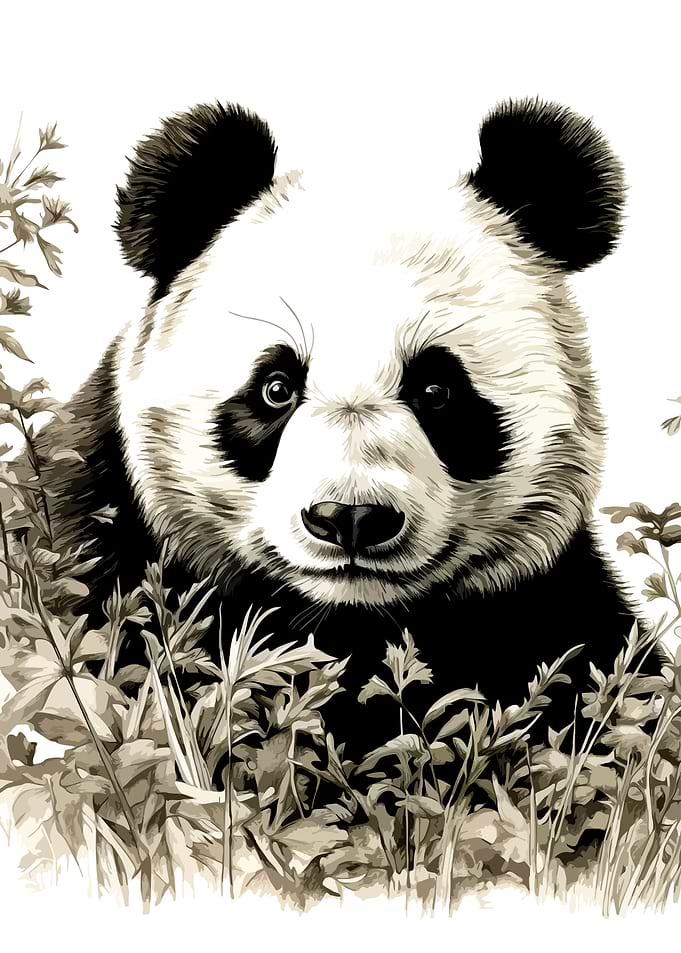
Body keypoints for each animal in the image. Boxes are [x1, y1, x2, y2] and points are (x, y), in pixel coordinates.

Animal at [39, 98, 647, 756]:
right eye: (276, 387)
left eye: (437, 391)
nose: (351, 517)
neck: (348, 625)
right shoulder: (105, 549)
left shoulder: (553, 617)